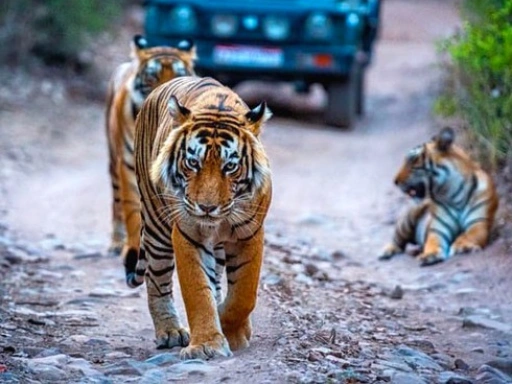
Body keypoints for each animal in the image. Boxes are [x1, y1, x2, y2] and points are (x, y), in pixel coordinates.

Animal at [104, 33, 196, 255]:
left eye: (180, 75)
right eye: (152, 77)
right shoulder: (128, 164)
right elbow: (132, 210)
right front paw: (133, 246)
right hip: (113, 161)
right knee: (117, 202)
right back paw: (116, 242)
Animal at [126, 76, 274, 360]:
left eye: (230, 166)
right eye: (193, 163)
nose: (206, 208)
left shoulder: (250, 233)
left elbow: (244, 294)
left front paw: (232, 329)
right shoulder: (188, 233)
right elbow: (197, 291)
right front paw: (207, 344)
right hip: (156, 225)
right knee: (157, 280)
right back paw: (170, 332)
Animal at [378, 127, 498, 266]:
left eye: (413, 160)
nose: (395, 181)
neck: (453, 193)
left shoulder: (478, 222)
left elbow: (469, 235)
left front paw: (463, 246)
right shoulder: (438, 229)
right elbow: (432, 241)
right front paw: (429, 255)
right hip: (408, 219)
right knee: (397, 241)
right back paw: (385, 252)